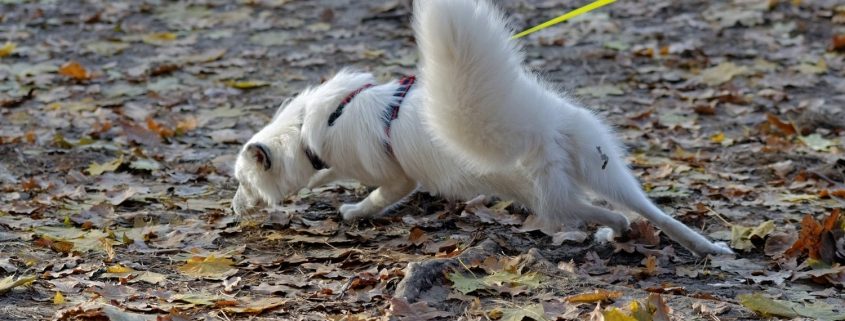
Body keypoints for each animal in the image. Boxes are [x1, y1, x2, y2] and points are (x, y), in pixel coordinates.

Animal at [232, 0, 732, 255]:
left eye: (242, 183)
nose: (232, 209)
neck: (306, 128)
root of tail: (536, 128)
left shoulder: (396, 178)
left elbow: (375, 196)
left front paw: (353, 212)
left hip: (548, 199)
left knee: (600, 212)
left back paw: (618, 229)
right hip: (601, 169)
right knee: (650, 212)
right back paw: (704, 247)